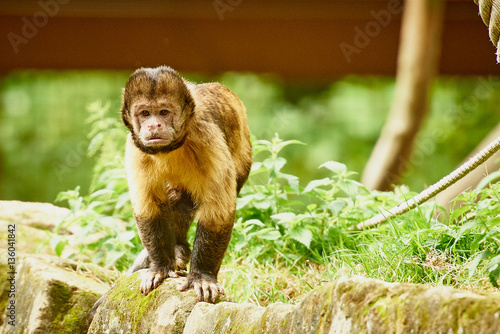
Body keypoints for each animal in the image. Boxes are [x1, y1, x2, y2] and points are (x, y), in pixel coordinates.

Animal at [123, 66, 252, 302]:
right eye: (145, 113)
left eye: (164, 112)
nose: (153, 124)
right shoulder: (136, 148)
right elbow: (148, 207)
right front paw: (160, 267)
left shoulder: (205, 136)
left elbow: (217, 212)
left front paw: (202, 275)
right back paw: (177, 250)